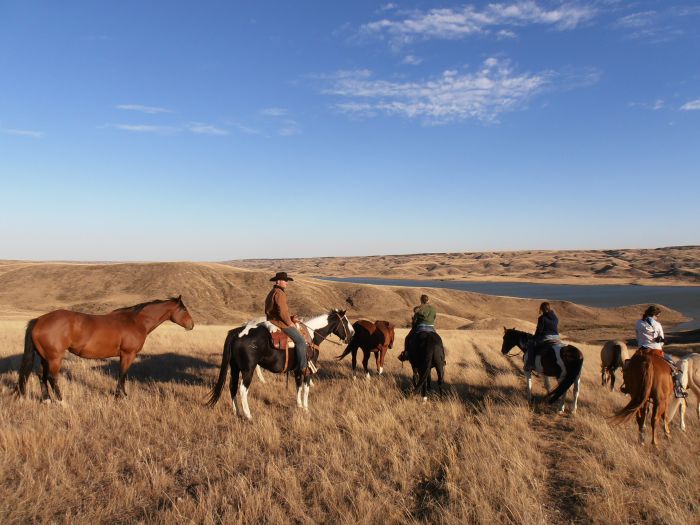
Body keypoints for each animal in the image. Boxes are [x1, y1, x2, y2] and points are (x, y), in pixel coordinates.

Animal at [17, 294, 196, 402]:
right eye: (184, 309)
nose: (192, 325)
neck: (135, 321)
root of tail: (39, 320)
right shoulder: (128, 354)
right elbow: (122, 374)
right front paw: (121, 396)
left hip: (45, 357)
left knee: (41, 375)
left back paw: (46, 399)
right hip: (55, 357)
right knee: (52, 377)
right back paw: (62, 401)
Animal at [206, 310, 350, 420]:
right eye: (346, 322)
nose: (352, 334)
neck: (312, 336)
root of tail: (237, 332)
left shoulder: (297, 370)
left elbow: (298, 387)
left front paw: (299, 406)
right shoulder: (307, 369)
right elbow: (306, 388)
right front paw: (306, 408)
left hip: (235, 368)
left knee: (233, 387)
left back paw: (237, 412)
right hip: (247, 370)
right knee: (242, 390)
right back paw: (248, 415)